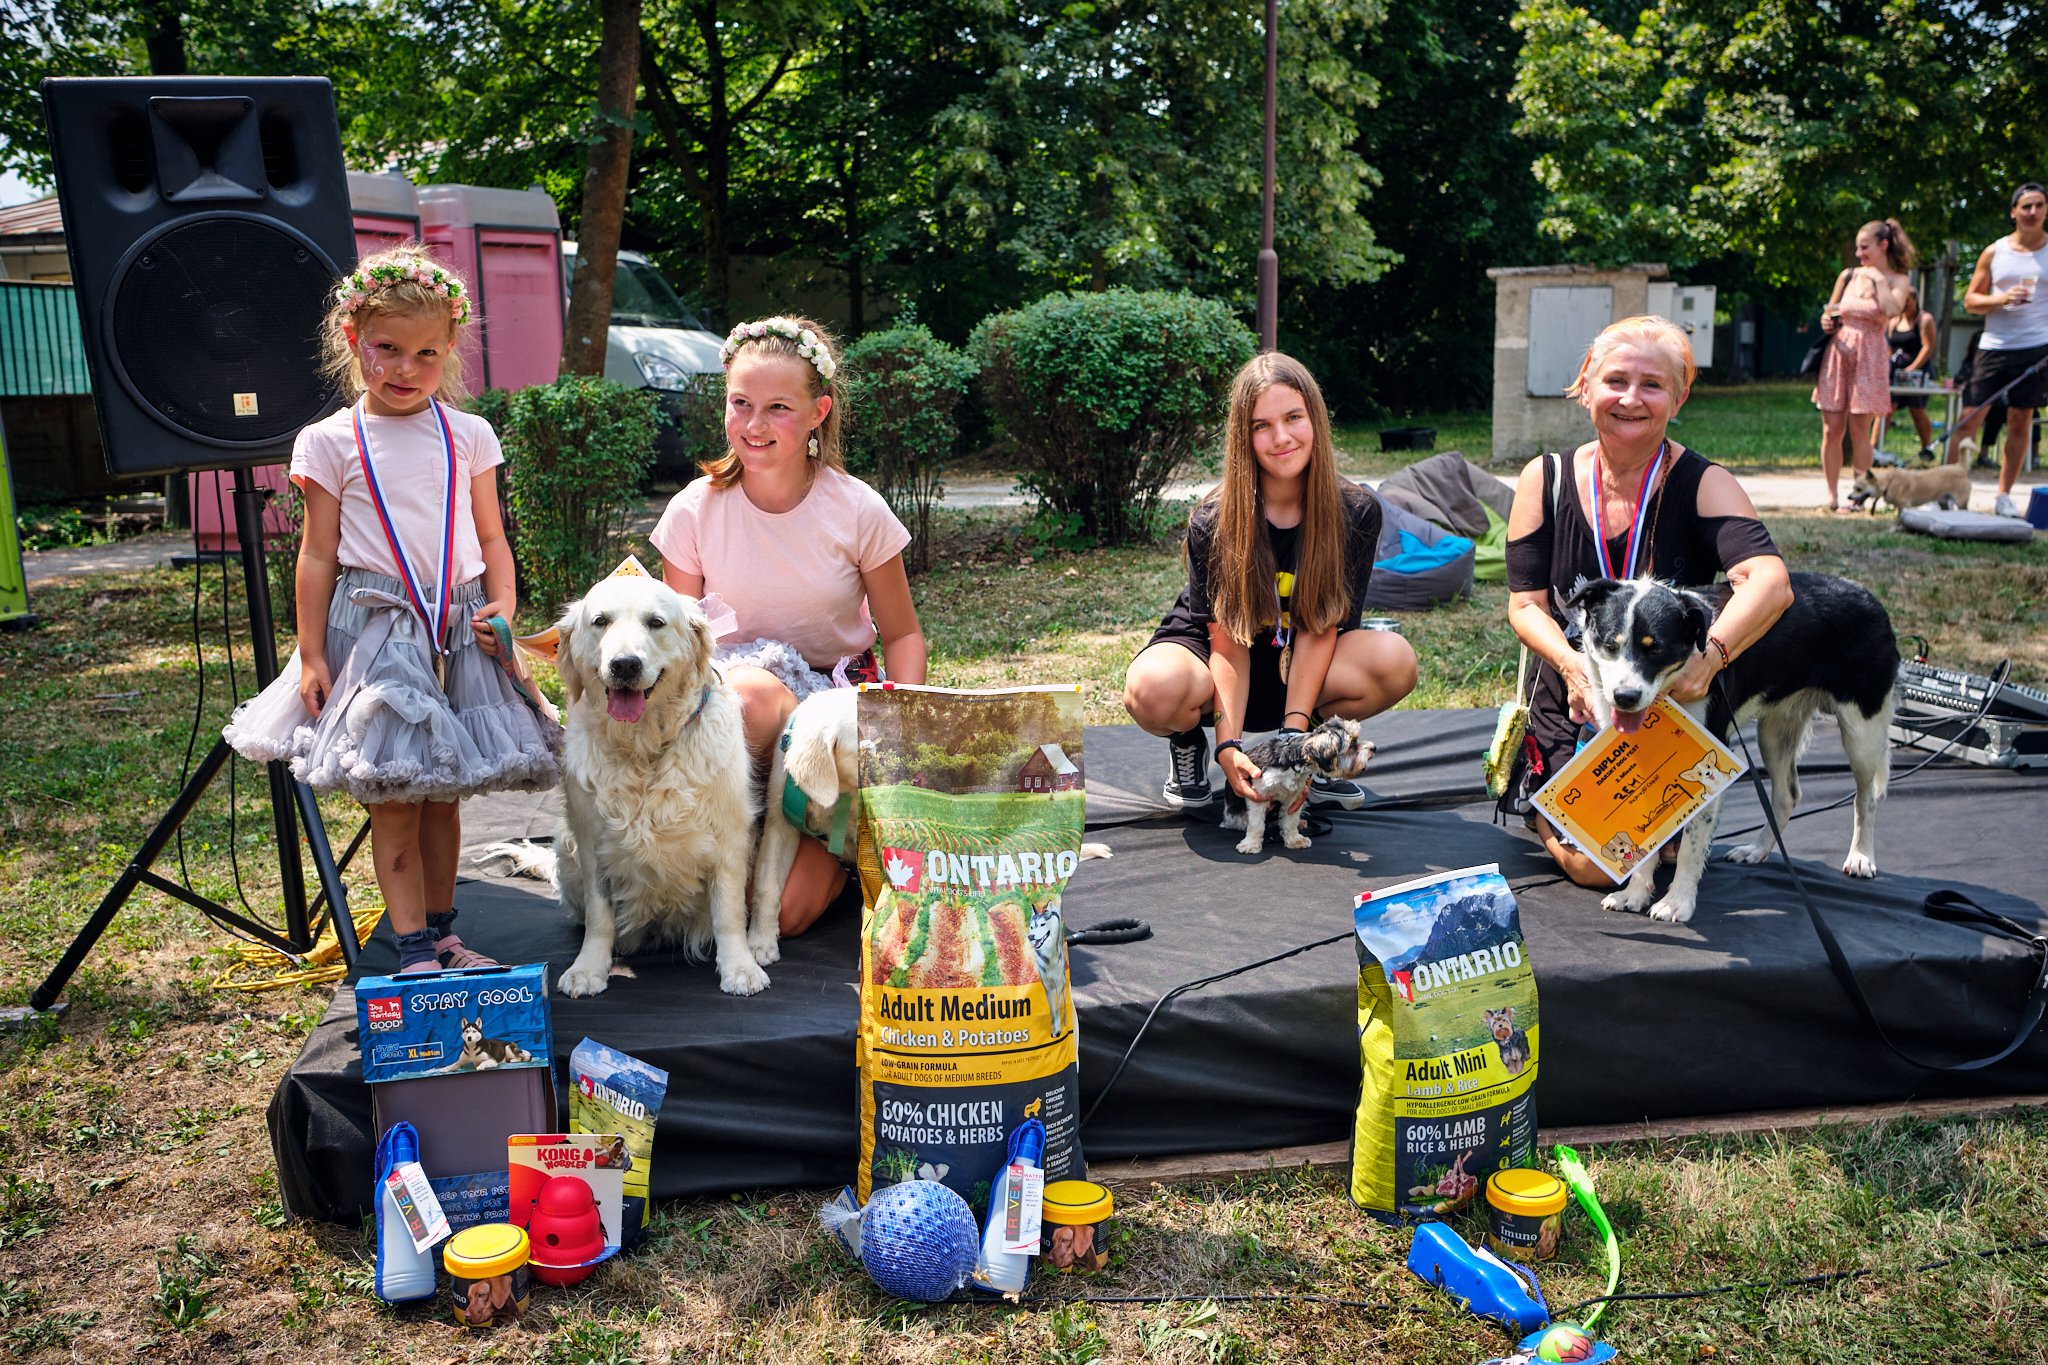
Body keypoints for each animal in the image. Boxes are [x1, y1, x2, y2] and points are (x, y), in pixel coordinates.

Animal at [548, 573, 770, 998]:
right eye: (600, 621)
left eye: (656, 622)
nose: (625, 665)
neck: (644, 749)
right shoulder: (590, 842)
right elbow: (600, 916)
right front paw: (588, 968)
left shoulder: (730, 837)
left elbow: (728, 912)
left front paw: (739, 968)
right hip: (564, 849)